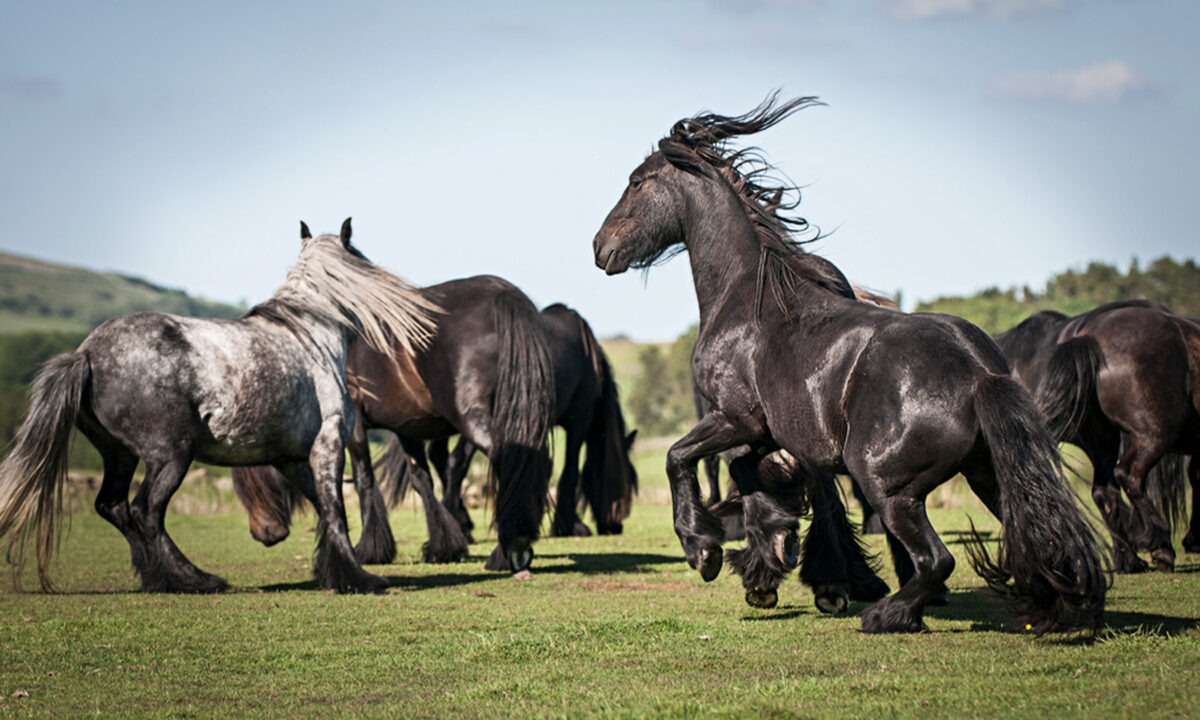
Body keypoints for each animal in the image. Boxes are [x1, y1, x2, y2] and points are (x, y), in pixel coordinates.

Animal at [0, 218, 439, 593]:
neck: (310, 335)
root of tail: (86, 354)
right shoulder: (328, 444)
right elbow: (335, 511)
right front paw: (359, 578)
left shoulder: (291, 459)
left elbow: (321, 507)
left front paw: (331, 570)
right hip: (170, 456)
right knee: (146, 511)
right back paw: (192, 579)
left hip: (119, 455)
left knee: (114, 507)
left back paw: (158, 578)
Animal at [232, 274, 555, 573]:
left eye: (249, 475)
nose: (263, 533)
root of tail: (500, 292)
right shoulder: (408, 427)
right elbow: (421, 480)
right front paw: (443, 546)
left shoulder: (353, 425)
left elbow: (363, 479)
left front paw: (369, 550)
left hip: (473, 419)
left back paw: (509, 547)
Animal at [401, 302, 639, 539]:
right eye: (629, 480)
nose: (616, 526)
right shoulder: (579, 420)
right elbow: (569, 472)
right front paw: (568, 525)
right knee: (456, 461)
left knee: (442, 456)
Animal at [591, 93, 1107, 633]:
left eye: (636, 182)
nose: (600, 247)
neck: (746, 298)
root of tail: (979, 374)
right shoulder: (766, 433)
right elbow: (750, 474)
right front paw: (770, 551)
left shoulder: (734, 418)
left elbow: (678, 457)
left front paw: (705, 550)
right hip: (986, 475)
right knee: (1032, 533)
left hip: (887, 485)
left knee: (937, 559)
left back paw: (888, 614)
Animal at [994, 300, 1200, 573]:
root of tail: (1089, 340)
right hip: (1153, 435)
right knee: (1129, 477)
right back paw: (1159, 545)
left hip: (1105, 441)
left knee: (1107, 492)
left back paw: (1131, 559)